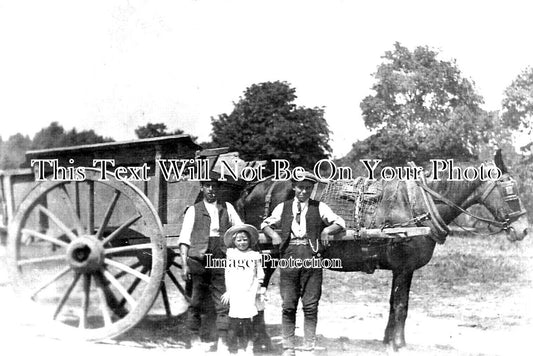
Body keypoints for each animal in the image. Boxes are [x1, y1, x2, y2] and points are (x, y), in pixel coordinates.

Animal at [236, 150, 528, 350]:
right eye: (509, 191)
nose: (523, 229)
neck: (418, 204)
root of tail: (257, 186)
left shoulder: (400, 269)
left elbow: (393, 303)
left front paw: (388, 339)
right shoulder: (404, 266)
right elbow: (401, 305)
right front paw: (398, 343)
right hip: (268, 255)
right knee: (257, 293)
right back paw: (261, 340)